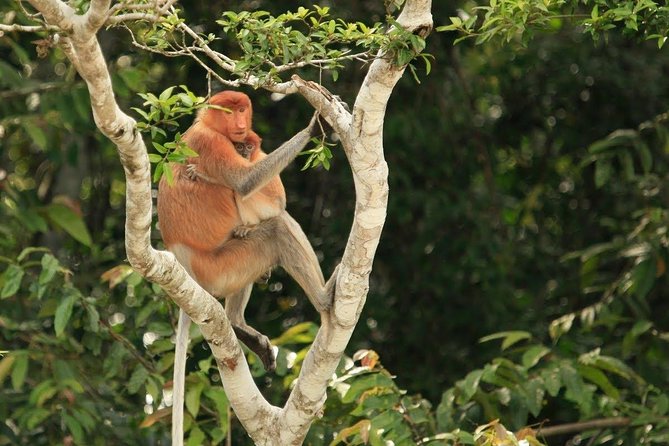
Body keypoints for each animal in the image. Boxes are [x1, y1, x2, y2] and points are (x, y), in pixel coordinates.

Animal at [156, 91, 336, 443]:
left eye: (243, 110)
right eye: (230, 112)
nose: (240, 130)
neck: (206, 124)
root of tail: (185, 263)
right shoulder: (212, 143)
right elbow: (245, 183)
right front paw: (315, 124)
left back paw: (238, 323)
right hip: (220, 266)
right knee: (277, 227)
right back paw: (324, 299)